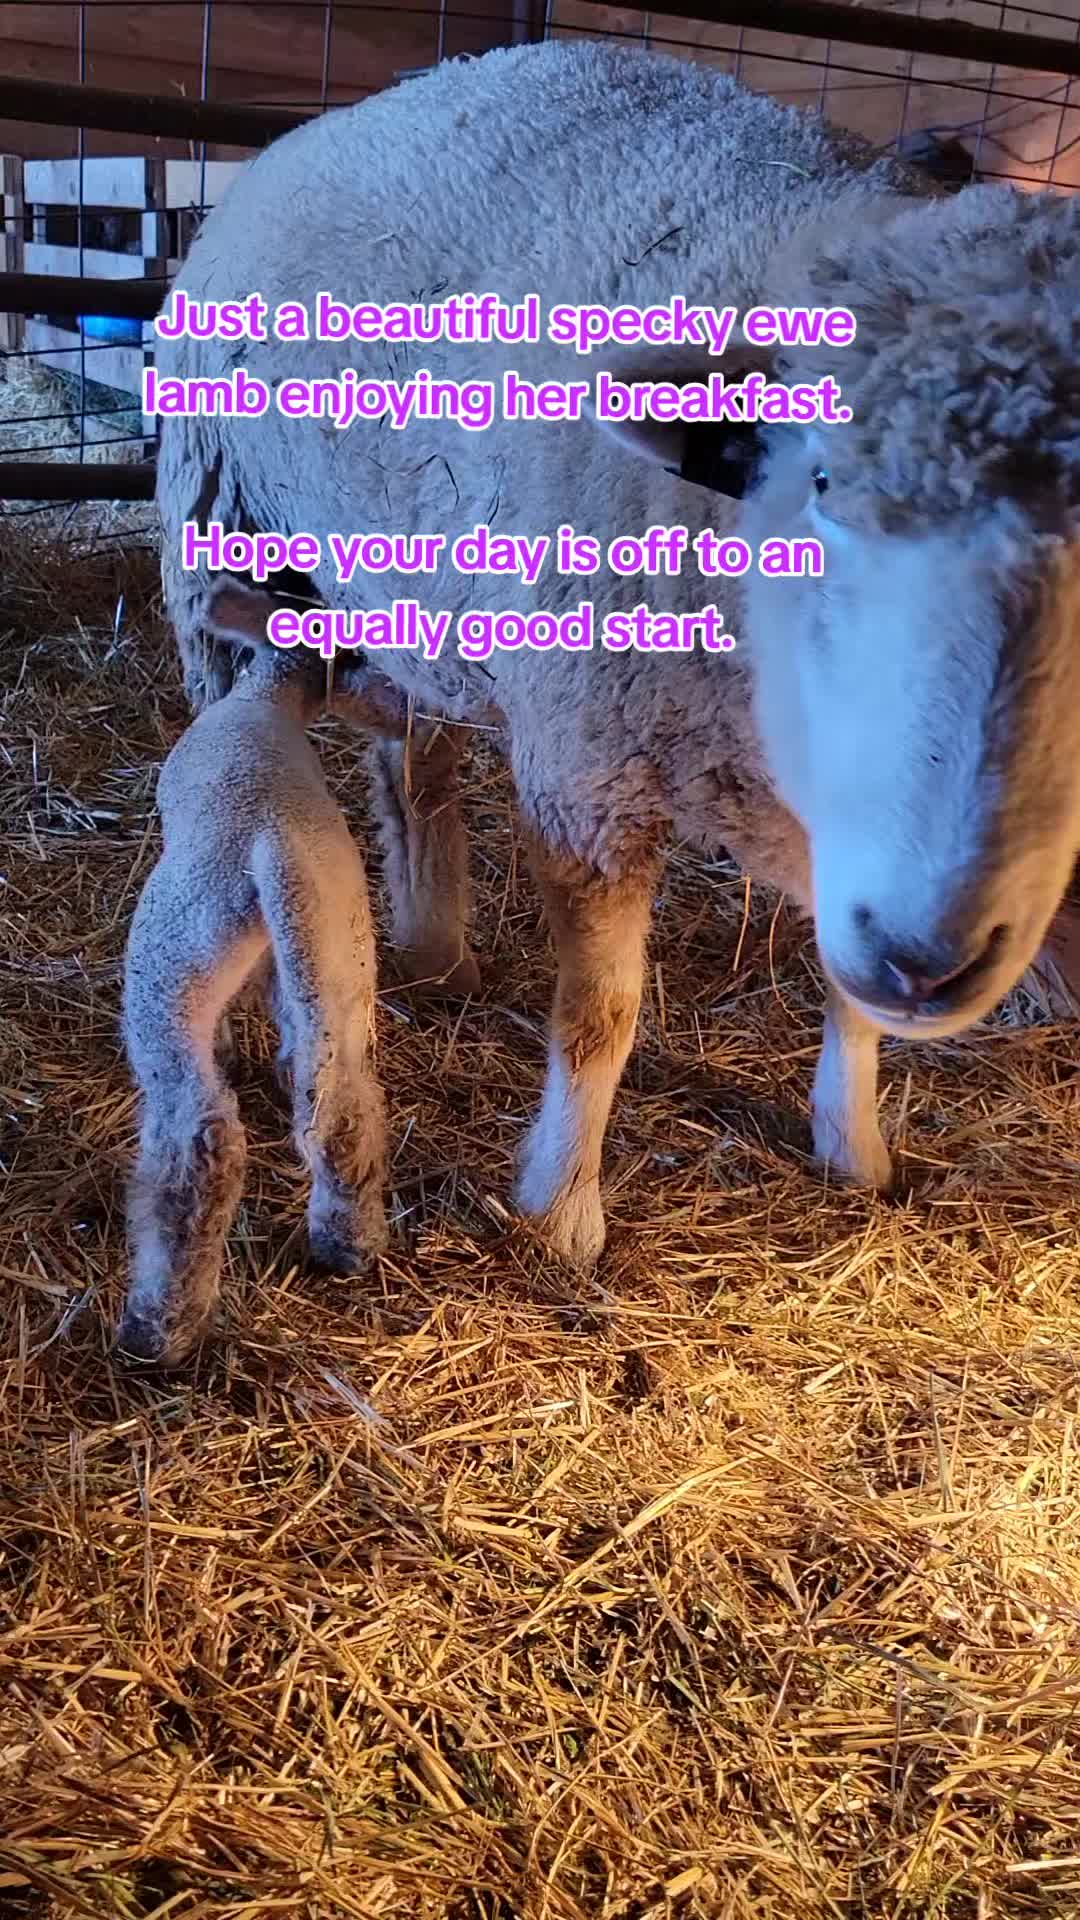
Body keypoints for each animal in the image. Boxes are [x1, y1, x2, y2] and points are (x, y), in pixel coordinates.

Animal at [117, 578, 411, 1366]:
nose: (398, 704)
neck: (266, 702)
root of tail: (273, 849)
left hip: (173, 963)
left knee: (202, 1141)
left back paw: (159, 1326)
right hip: (342, 953)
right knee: (343, 1106)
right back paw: (348, 1243)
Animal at [154, 40, 1080, 1270]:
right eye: (819, 479)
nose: (926, 955)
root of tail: (344, 113)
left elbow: (846, 1000)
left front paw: (855, 1147)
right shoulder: (590, 769)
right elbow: (601, 1015)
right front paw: (562, 1212)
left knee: (418, 765)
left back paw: (438, 949)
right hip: (217, 528)